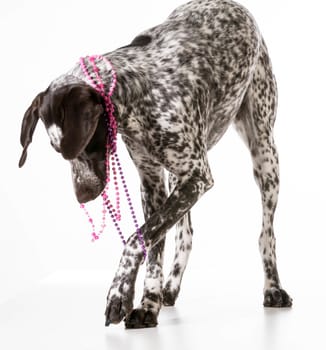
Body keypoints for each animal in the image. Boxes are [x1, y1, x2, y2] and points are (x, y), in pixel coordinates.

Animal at [18, 0, 292, 328]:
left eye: (84, 144)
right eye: (56, 150)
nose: (82, 196)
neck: (138, 92)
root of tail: (231, 5)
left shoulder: (197, 177)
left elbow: (137, 239)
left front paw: (118, 294)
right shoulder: (153, 184)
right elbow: (153, 245)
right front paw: (148, 302)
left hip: (264, 154)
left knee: (266, 234)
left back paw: (273, 288)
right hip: (179, 178)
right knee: (185, 235)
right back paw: (169, 288)